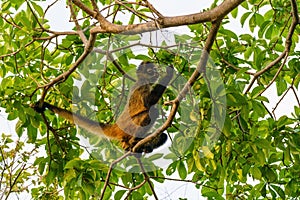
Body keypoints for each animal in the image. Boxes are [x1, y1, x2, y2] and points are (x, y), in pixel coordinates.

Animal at [33, 61, 173, 153]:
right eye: (150, 70)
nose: (156, 72)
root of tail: (116, 126)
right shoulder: (142, 85)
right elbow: (149, 102)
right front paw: (169, 74)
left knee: (163, 135)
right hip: (130, 127)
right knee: (152, 111)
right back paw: (133, 141)